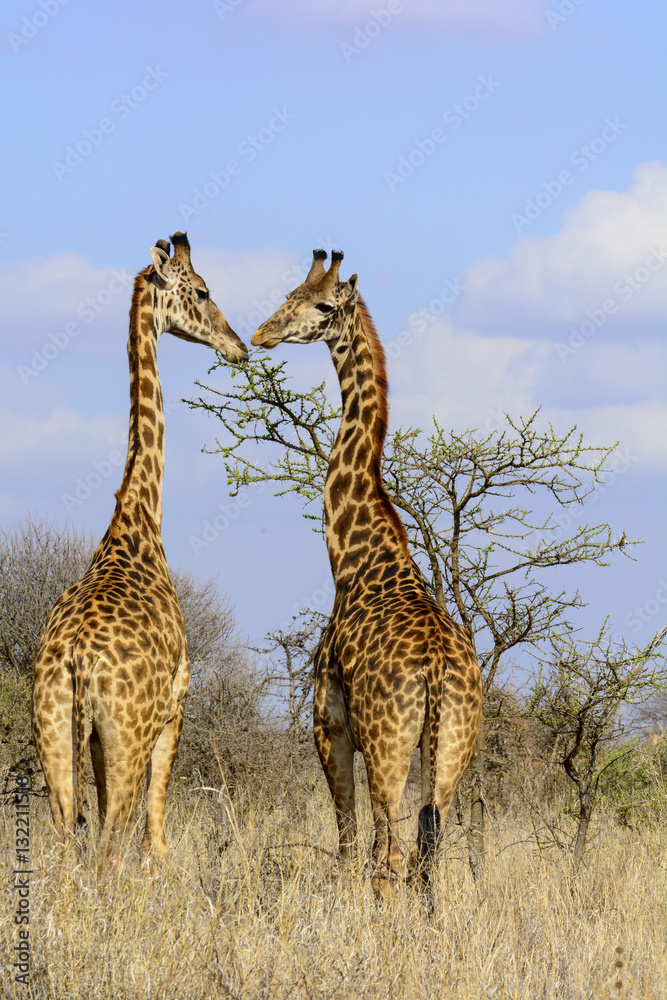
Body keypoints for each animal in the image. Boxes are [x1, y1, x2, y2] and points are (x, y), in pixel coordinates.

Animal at [33, 230, 248, 856]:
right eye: (201, 290)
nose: (238, 346)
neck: (136, 521)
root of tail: (78, 661)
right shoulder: (177, 703)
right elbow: (157, 838)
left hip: (54, 736)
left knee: (71, 838)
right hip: (127, 735)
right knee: (110, 844)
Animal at [253, 250, 482, 900]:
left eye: (323, 306)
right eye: (288, 293)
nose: (261, 334)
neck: (353, 557)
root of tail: (437, 672)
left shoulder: (328, 723)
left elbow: (347, 844)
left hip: (387, 745)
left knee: (391, 856)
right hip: (449, 749)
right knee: (426, 855)